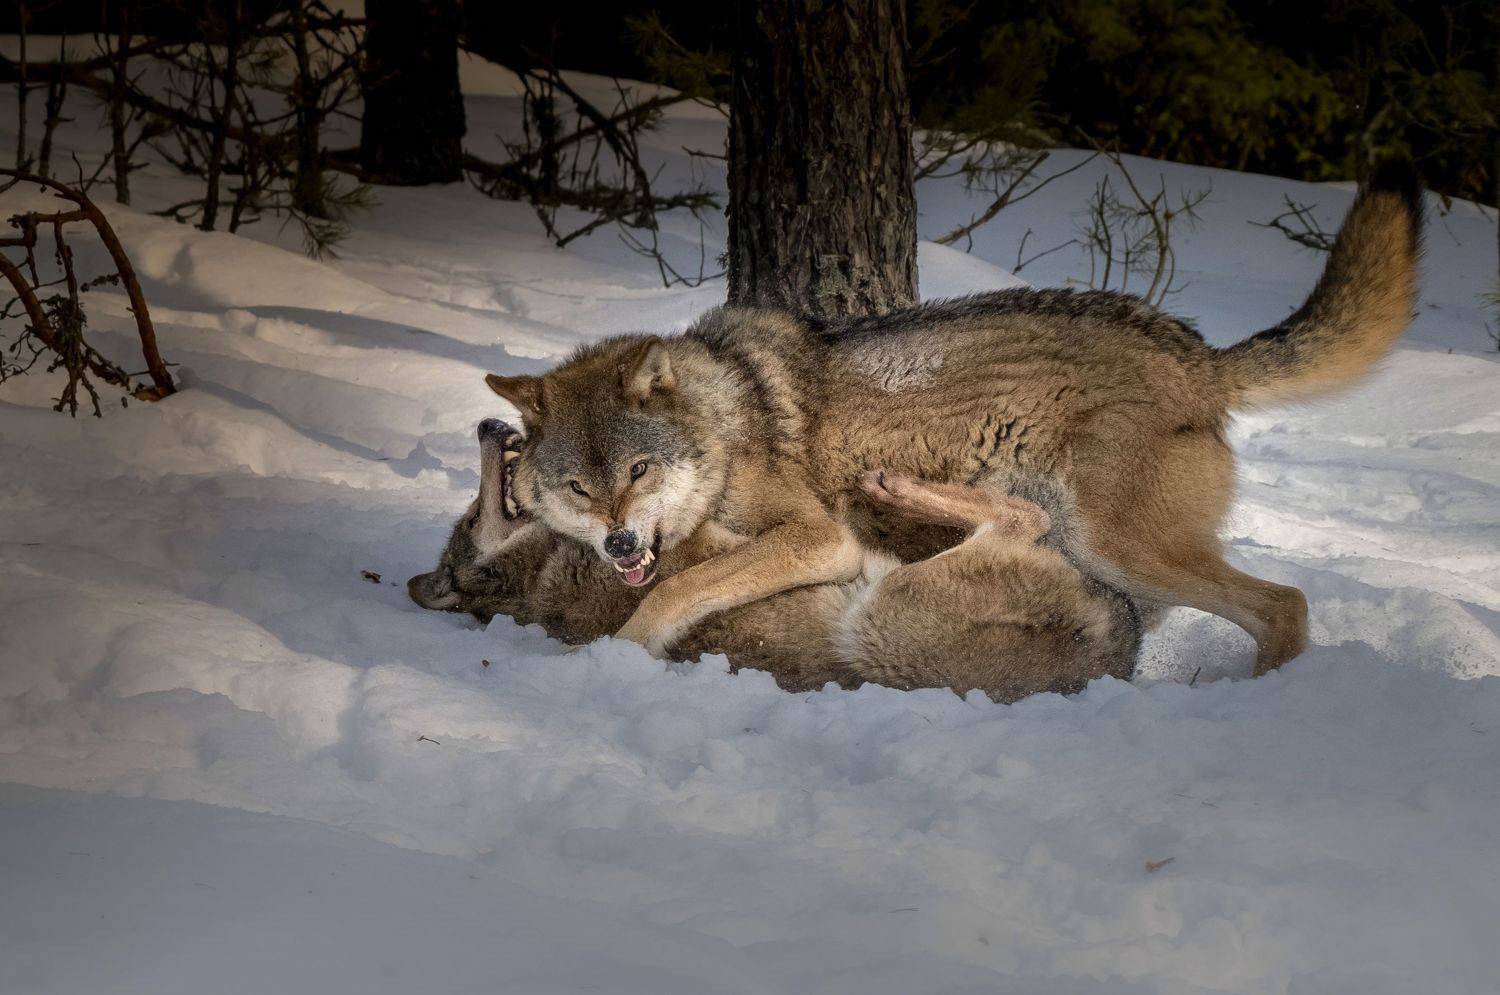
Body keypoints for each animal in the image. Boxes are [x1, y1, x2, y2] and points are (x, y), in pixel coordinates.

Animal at [408, 420, 1141, 702]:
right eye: (471, 520)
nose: (486, 425)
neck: (542, 577)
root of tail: (1117, 653)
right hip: (883, 619)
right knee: (1023, 515)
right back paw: (892, 485)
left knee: (1026, 516)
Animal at [485, 161, 1422, 673]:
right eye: (580, 486)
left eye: (638, 470)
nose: (618, 544)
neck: (721, 427)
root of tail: (1195, 351)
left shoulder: (815, 538)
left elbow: (678, 588)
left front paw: (618, 653)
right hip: (1108, 557)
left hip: (1122, 548)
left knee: (1284, 604)